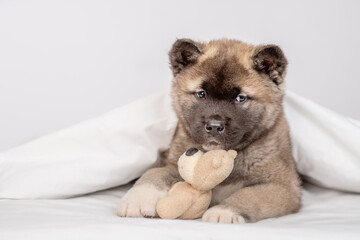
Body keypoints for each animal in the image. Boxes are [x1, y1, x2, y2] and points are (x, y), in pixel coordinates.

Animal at [116, 38, 300, 223]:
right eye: (201, 94)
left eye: (240, 98)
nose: (214, 127)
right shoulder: (175, 166)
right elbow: (154, 174)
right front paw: (138, 199)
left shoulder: (283, 186)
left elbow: (248, 195)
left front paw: (224, 212)